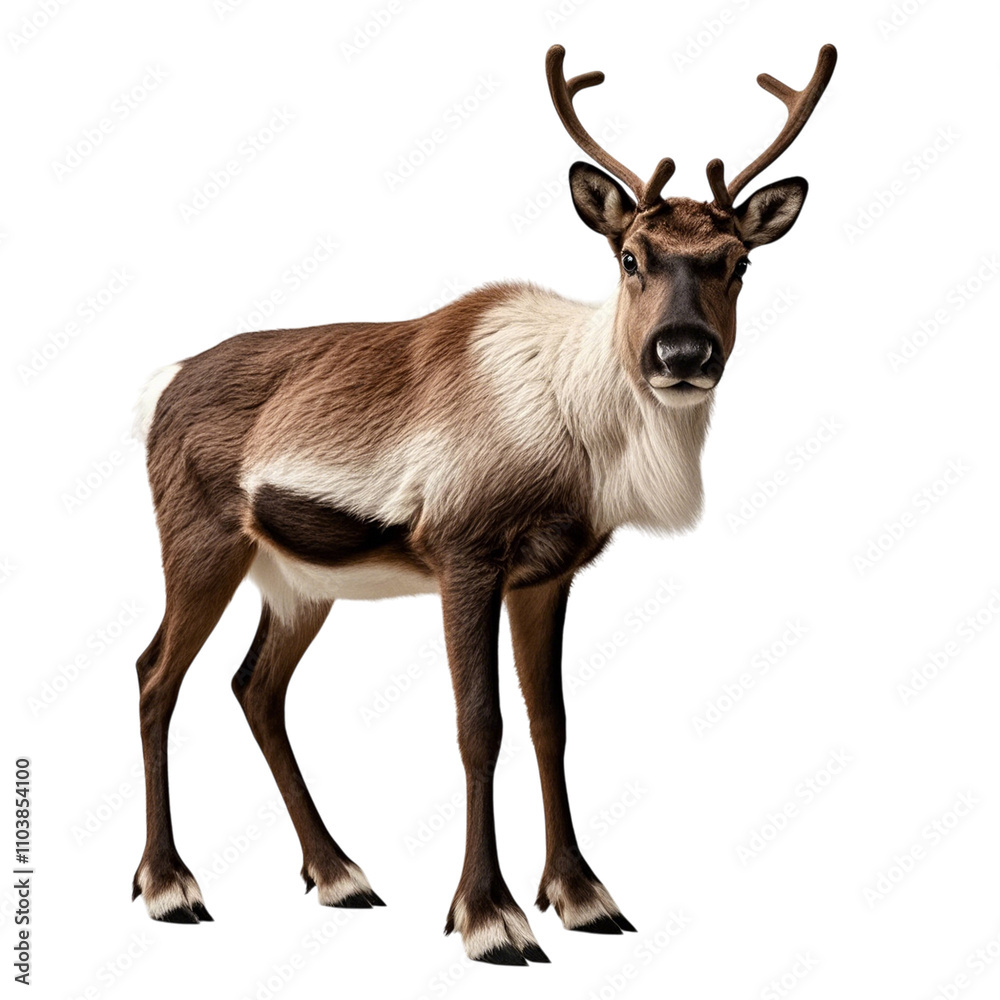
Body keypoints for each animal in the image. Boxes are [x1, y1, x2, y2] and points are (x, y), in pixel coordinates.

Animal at [130, 41, 836, 965]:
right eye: (631, 256)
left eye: (738, 261)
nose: (682, 352)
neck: (580, 436)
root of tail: (161, 384)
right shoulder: (466, 554)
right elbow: (480, 724)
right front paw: (489, 916)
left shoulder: (548, 573)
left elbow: (550, 720)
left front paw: (582, 895)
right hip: (202, 542)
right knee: (154, 676)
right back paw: (170, 886)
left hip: (299, 580)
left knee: (255, 686)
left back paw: (339, 873)